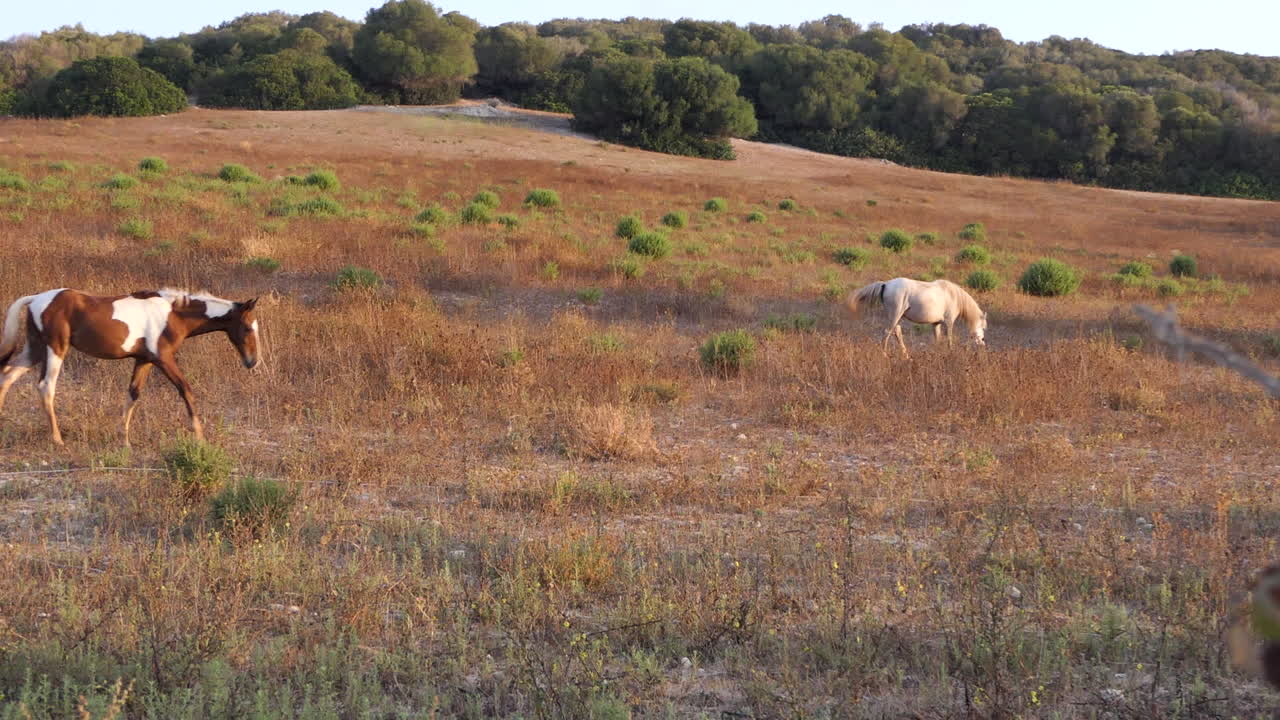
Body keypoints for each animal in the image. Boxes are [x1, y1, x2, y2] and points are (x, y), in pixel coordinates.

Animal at [0, 288, 260, 446]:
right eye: (247, 327)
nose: (252, 361)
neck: (173, 315)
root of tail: (35, 299)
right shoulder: (163, 359)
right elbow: (186, 390)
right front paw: (199, 436)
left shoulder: (143, 360)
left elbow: (133, 394)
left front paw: (123, 440)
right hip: (55, 349)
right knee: (46, 386)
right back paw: (57, 439)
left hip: (34, 349)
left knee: (7, 375)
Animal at [847, 277, 987, 358]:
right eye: (983, 328)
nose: (983, 343)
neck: (953, 295)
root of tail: (886, 284)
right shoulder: (949, 322)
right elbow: (949, 340)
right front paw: (950, 354)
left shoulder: (936, 323)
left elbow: (938, 339)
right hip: (895, 315)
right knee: (887, 333)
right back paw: (885, 355)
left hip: (897, 317)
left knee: (897, 332)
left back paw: (906, 355)